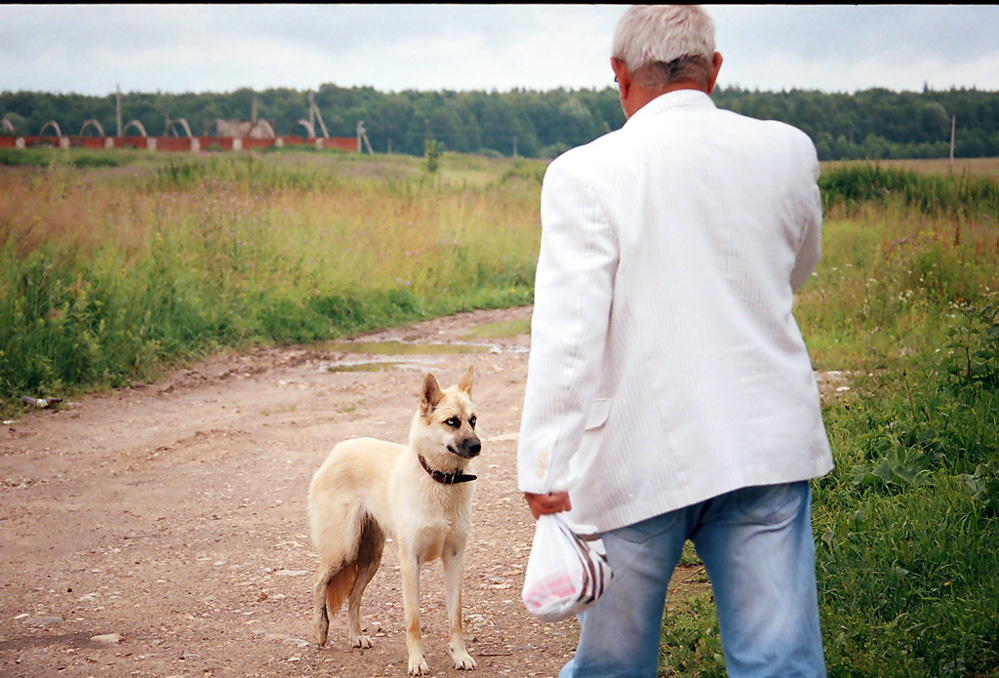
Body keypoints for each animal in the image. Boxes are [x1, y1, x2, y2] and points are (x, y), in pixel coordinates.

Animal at [310, 370, 482, 676]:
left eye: (472, 420)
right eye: (452, 422)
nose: (477, 446)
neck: (440, 479)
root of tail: (337, 451)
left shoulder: (454, 559)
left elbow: (456, 617)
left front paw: (460, 656)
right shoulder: (410, 563)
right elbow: (413, 622)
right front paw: (417, 661)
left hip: (370, 558)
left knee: (353, 597)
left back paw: (356, 636)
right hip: (343, 550)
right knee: (319, 582)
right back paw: (321, 630)